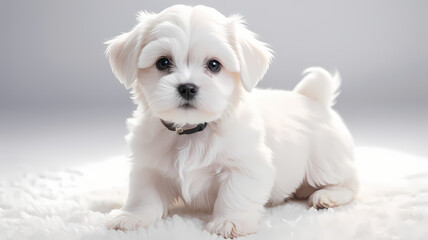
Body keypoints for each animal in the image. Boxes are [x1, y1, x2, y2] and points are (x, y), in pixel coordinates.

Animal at [106, 4, 358, 237]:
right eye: (163, 63)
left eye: (214, 65)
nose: (187, 87)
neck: (193, 130)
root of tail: (314, 99)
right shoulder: (148, 165)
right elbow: (144, 194)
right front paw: (132, 217)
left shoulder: (246, 165)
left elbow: (235, 193)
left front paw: (230, 222)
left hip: (325, 160)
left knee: (350, 182)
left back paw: (328, 195)